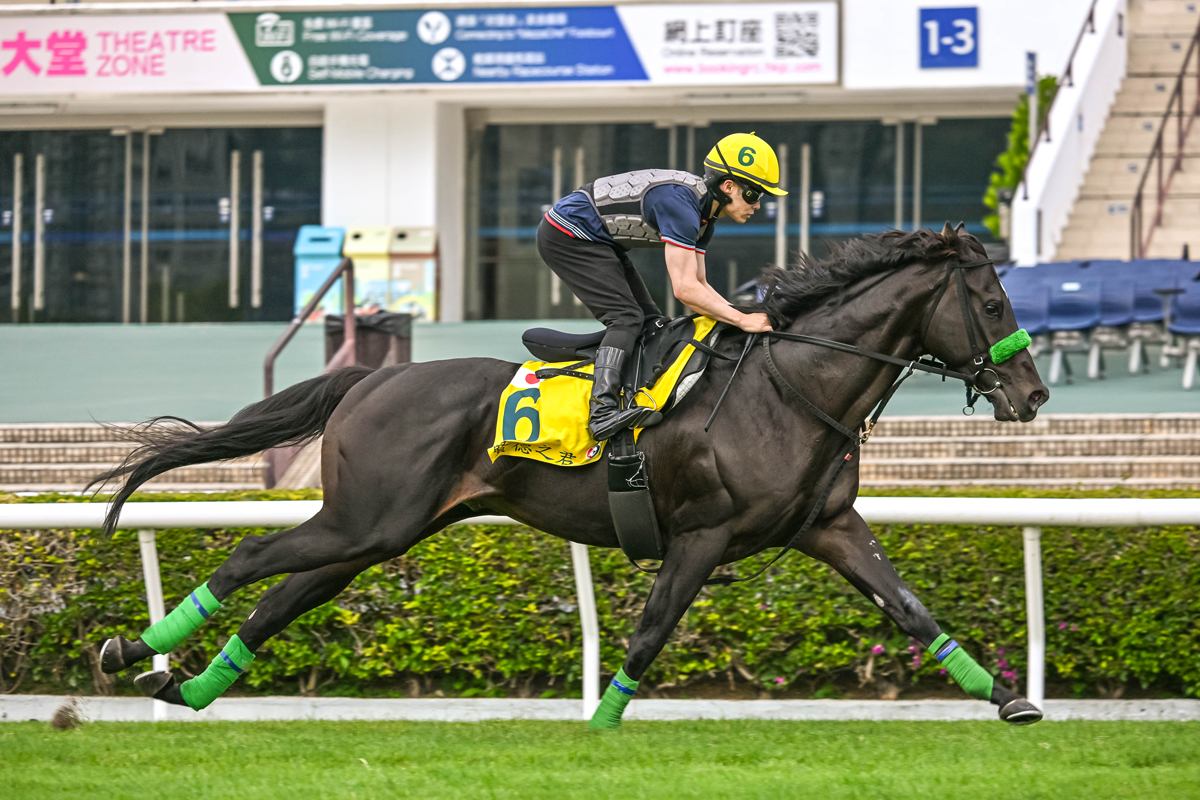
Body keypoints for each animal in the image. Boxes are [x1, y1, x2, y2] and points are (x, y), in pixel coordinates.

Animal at [96, 224, 1051, 724]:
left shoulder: (829, 526)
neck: (790, 386)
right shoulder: (701, 535)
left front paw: (1008, 699)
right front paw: (597, 727)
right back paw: (134, 651)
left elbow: (912, 609)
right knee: (250, 561)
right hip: (370, 517)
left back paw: (189, 684)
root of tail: (370, 377)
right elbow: (652, 631)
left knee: (286, 595)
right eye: (993, 301)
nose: (1034, 394)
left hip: (380, 530)